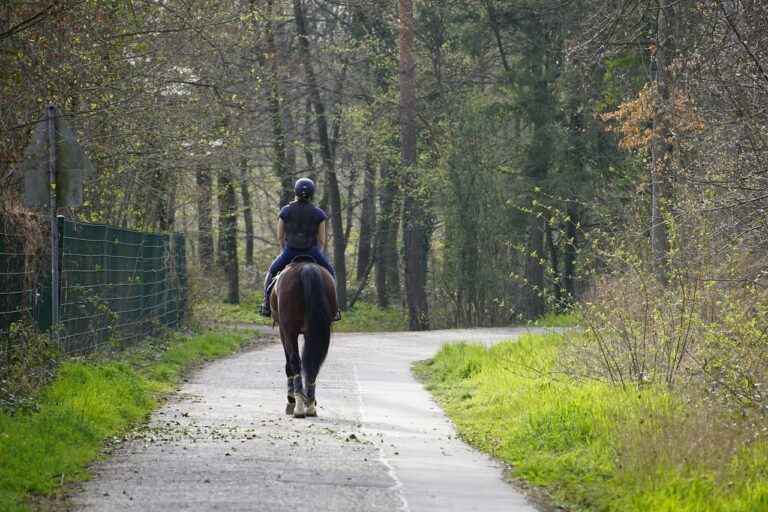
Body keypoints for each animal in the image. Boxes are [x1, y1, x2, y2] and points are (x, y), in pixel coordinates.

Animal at [270, 258, 336, 418]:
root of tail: (307, 267)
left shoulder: (283, 331)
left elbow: (289, 364)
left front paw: (291, 399)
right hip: (317, 328)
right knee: (314, 363)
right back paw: (310, 404)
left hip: (289, 329)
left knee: (294, 360)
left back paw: (298, 404)